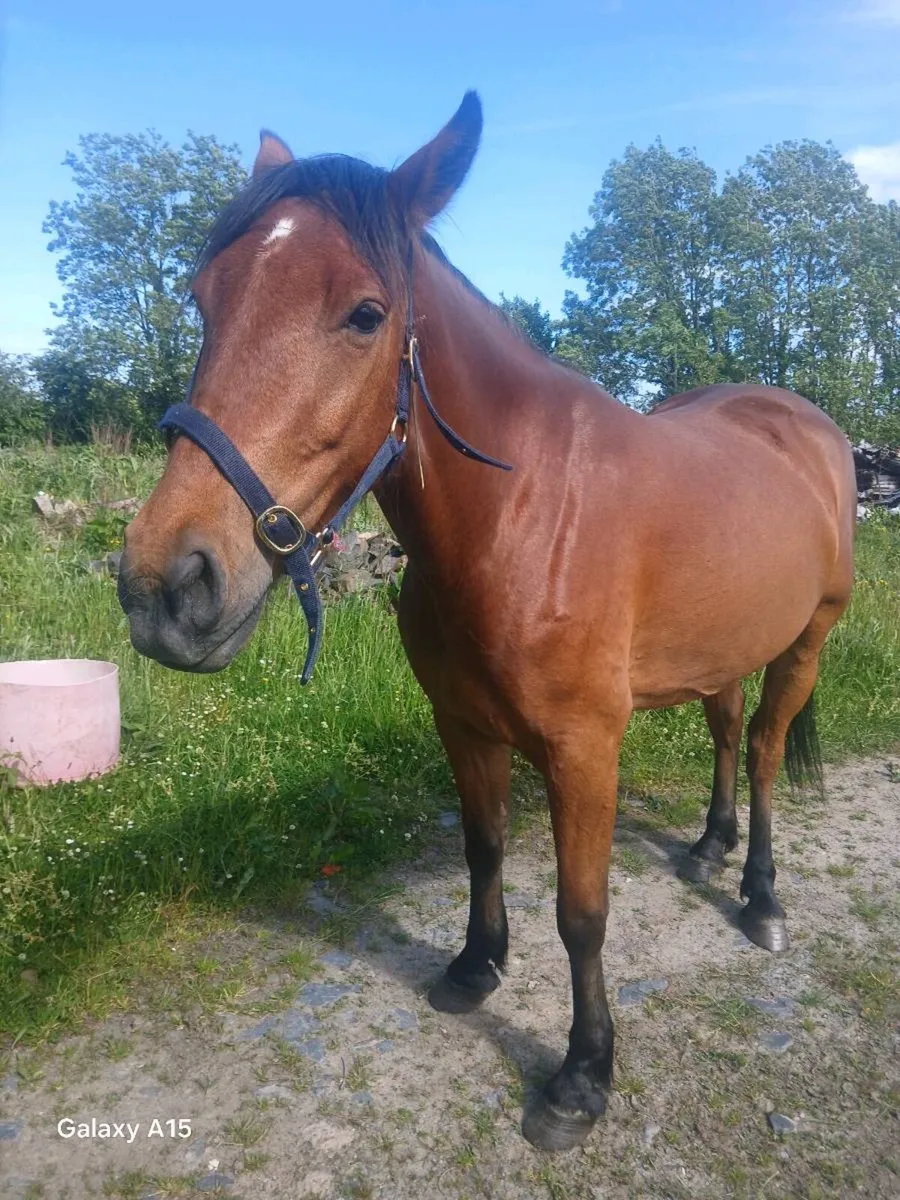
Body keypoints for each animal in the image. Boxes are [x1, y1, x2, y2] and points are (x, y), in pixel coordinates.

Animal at [118, 92, 856, 1152]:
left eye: (366, 314)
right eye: (202, 299)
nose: (165, 587)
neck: (526, 514)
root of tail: (813, 428)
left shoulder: (586, 748)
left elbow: (582, 913)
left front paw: (582, 1076)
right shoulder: (463, 723)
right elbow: (485, 846)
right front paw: (475, 968)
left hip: (807, 640)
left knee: (759, 748)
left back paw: (759, 896)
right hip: (722, 649)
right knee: (724, 732)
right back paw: (709, 847)